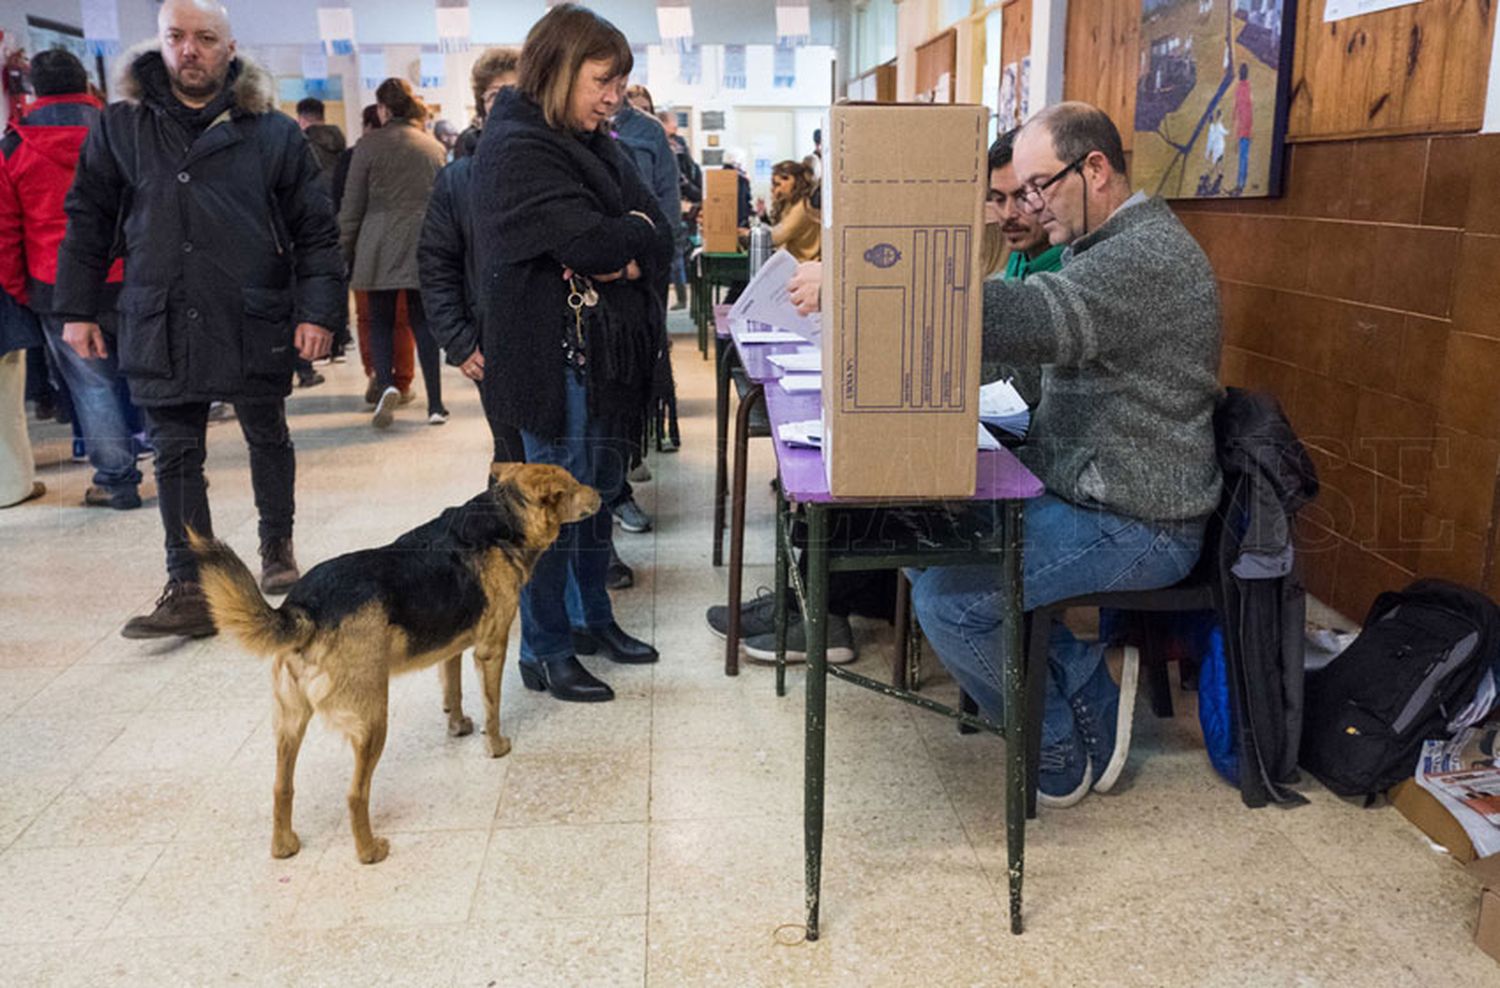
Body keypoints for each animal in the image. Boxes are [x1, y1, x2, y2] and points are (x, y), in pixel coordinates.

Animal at [190, 467, 600, 863]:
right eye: (570, 486)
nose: (599, 493)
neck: (502, 515)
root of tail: (304, 610)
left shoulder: (451, 648)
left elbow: (453, 691)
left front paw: (458, 726)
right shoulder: (490, 649)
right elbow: (492, 706)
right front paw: (495, 746)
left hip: (290, 721)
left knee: (281, 787)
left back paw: (284, 845)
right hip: (372, 720)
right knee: (355, 795)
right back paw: (369, 851)